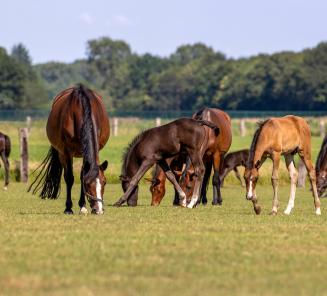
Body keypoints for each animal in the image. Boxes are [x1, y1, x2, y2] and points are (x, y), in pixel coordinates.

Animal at [28, 84, 110, 214]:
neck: (81, 108)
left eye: (104, 182)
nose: (98, 210)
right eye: (88, 184)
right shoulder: (67, 152)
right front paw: (68, 208)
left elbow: (81, 176)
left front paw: (83, 206)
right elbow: (70, 178)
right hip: (61, 153)